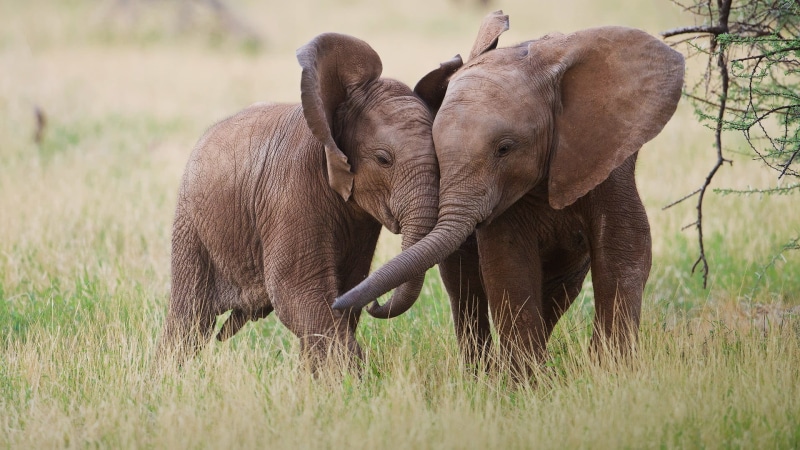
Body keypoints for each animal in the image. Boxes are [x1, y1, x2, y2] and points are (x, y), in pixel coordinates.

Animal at [157, 32, 440, 371]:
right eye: (384, 159)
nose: (377, 303)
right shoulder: (292, 191)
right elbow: (299, 293)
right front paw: (354, 379)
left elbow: (345, 290)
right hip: (192, 223)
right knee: (191, 317)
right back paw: (167, 376)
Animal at [334, 11, 684, 374]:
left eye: (505, 149)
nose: (365, 303)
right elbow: (508, 260)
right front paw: (527, 381)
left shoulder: (608, 158)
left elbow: (624, 246)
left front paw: (610, 371)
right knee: (465, 286)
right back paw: (483, 373)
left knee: (560, 288)